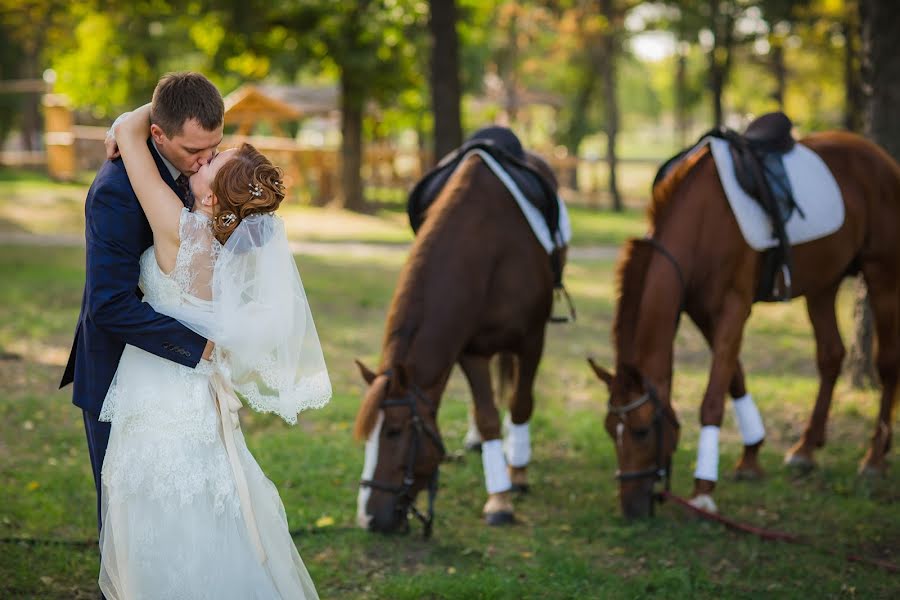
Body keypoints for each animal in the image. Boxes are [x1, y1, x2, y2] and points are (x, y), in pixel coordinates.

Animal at [352, 150, 564, 536]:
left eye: (393, 432)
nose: (368, 518)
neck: (492, 248)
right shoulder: (471, 351)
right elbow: (487, 416)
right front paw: (499, 498)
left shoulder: (532, 340)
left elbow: (521, 403)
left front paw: (517, 477)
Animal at [592, 131, 900, 516]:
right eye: (609, 429)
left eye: (642, 430)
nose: (631, 509)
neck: (703, 221)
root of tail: (880, 157)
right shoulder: (703, 312)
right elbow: (735, 378)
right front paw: (751, 457)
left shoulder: (733, 308)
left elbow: (713, 398)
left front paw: (703, 490)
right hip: (823, 283)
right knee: (831, 355)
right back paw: (805, 449)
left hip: (882, 273)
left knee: (887, 363)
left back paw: (874, 459)